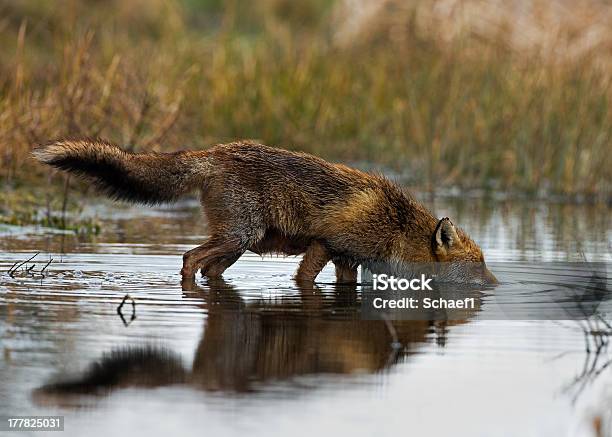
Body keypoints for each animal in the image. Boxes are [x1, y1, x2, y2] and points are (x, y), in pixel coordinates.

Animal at [33, 138, 498, 284]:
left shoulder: (347, 261)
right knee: (188, 258)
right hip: (238, 236)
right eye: (479, 265)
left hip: (236, 246)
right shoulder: (324, 245)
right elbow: (305, 281)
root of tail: (216, 151)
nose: (497, 286)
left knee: (206, 267)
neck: (394, 222)